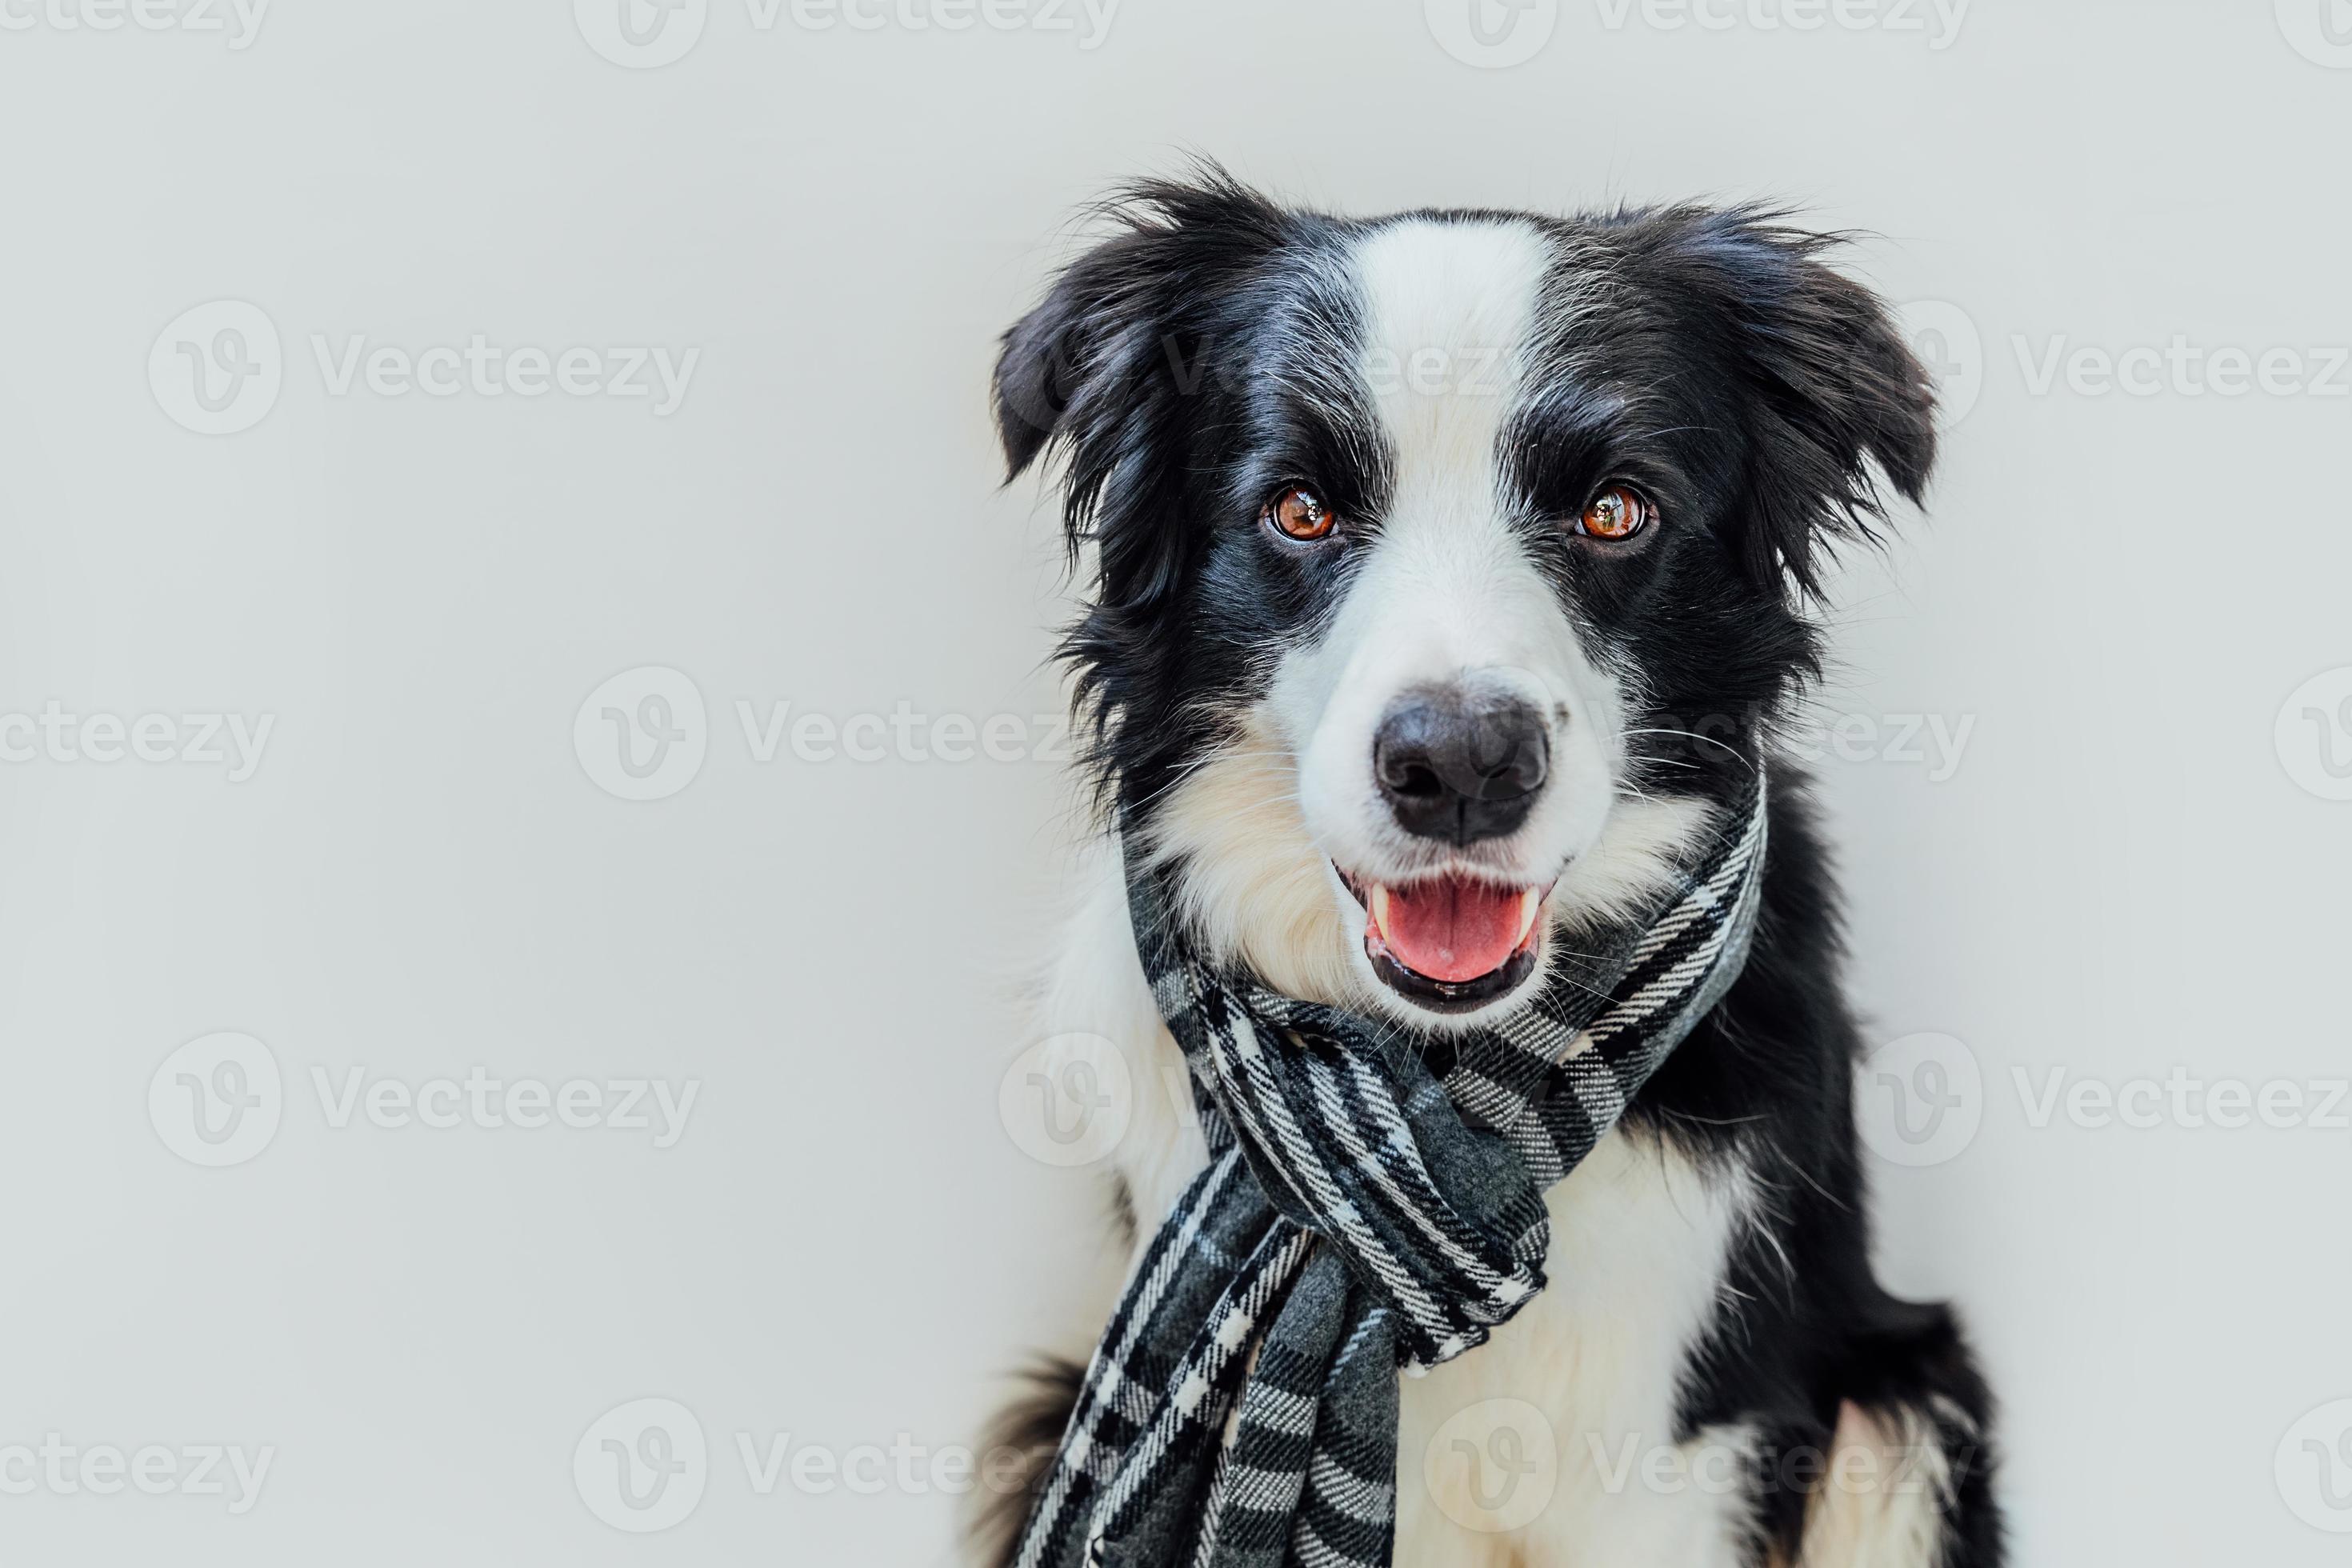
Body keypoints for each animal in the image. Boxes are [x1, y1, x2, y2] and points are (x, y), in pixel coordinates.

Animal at [982, 174, 1994, 1568]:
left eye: (1615, 510)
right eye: (1299, 510)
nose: (1460, 763)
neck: (1437, 1094)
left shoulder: (1677, 1456)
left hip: (1902, 1418)